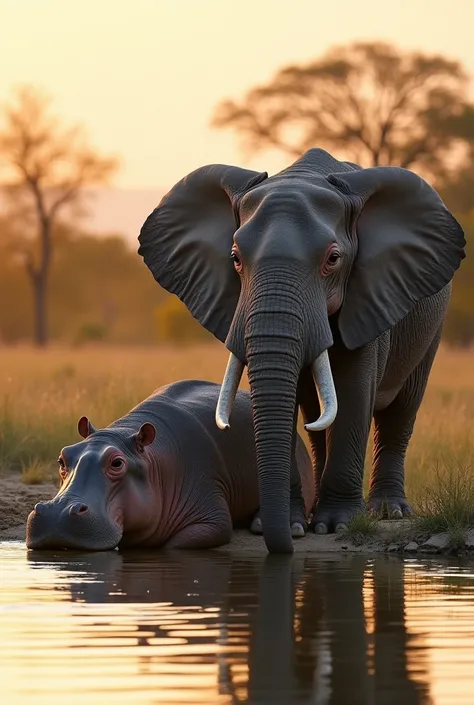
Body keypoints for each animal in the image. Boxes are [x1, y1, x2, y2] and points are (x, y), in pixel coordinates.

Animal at [138, 150, 466, 556]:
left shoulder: (369, 295)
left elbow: (353, 390)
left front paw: (336, 525)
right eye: (235, 258)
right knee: (315, 418)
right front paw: (286, 526)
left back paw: (388, 511)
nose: (286, 546)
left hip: (432, 321)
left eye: (333, 259)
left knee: (402, 409)